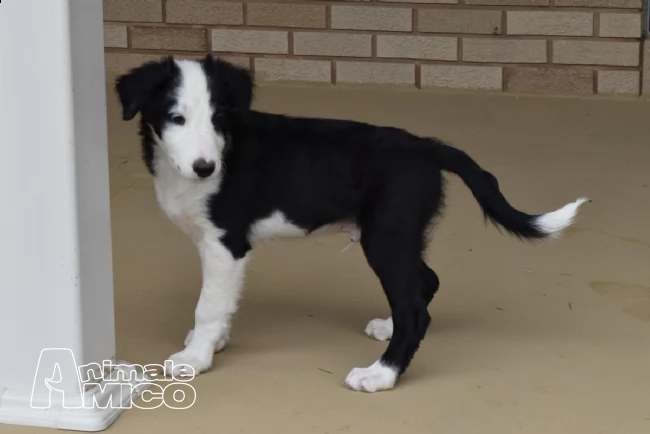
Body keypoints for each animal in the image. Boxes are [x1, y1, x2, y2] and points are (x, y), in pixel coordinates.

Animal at [116, 55, 588, 394]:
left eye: (219, 119)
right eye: (176, 118)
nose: (205, 168)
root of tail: (427, 147)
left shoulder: (225, 242)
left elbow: (209, 305)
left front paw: (194, 358)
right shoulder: (214, 247)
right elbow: (221, 300)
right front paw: (210, 343)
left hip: (386, 237)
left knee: (415, 309)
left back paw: (381, 375)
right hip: (399, 235)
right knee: (425, 283)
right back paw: (388, 328)